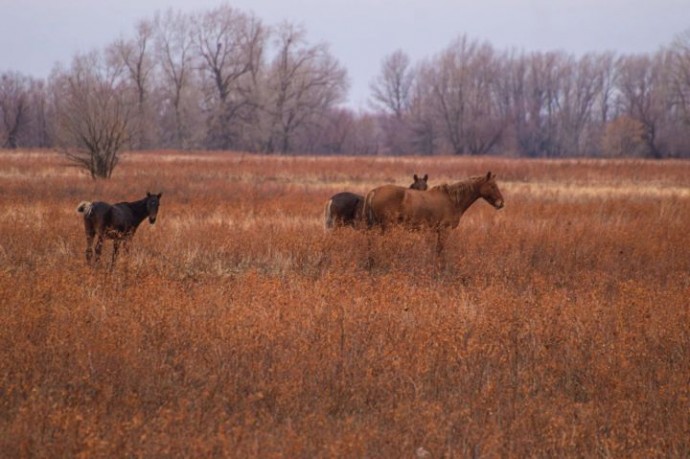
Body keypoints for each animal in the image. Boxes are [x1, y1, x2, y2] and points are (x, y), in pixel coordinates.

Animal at [362, 172, 502, 253]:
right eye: (492, 186)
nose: (501, 203)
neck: (452, 200)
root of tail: (374, 191)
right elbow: (440, 251)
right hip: (386, 228)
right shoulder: (444, 230)